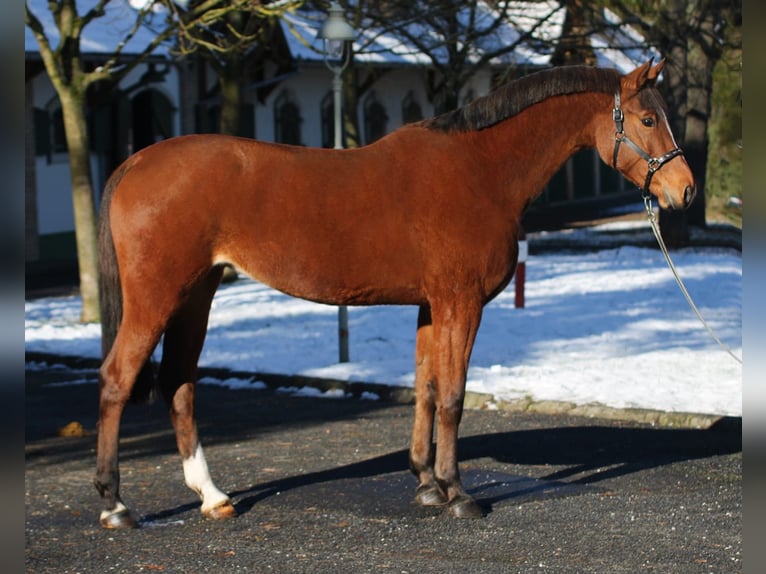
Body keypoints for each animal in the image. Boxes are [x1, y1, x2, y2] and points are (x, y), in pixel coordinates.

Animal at [94, 57, 696, 528]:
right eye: (647, 118)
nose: (685, 190)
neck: (480, 169)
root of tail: (136, 161)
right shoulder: (460, 303)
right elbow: (453, 396)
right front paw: (458, 493)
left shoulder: (431, 306)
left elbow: (425, 390)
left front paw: (427, 484)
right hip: (158, 298)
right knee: (118, 380)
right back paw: (115, 504)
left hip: (197, 294)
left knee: (179, 384)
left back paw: (212, 497)